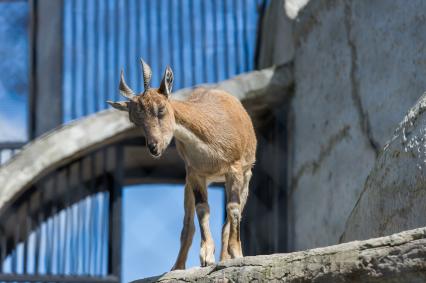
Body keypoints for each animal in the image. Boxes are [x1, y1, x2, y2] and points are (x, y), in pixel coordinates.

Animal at [108, 59, 258, 270]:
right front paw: (206, 256)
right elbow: (202, 209)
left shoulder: (234, 170)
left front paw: (236, 254)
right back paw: (178, 266)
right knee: (187, 225)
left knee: (228, 219)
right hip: (190, 184)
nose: (154, 147)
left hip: (245, 177)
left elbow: (233, 209)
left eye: (161, 108)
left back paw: (225, 257)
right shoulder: (195, 174)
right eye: (135, 119)